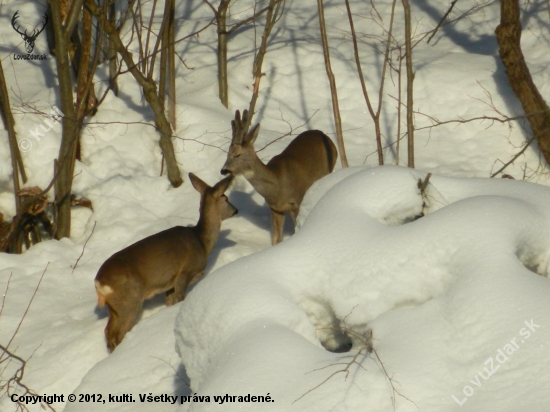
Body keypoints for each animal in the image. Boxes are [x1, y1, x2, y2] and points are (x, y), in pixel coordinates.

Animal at [93, 173, 239, 350]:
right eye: (225, 198)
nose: (236, 210)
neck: (201, 241)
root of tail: (99, 282)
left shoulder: (169, 283)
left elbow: (170, 302)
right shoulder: (184, 272)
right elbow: (180, 299)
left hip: (115, 306)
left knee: (108, 331)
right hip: (130, 299)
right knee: (116, 332)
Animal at [222, 109, 338, 245]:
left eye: (238, 155)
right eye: (227, 153)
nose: (223, 170)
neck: (278, 185)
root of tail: (326, 136)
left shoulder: (297, 202)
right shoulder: (275, 209)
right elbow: (276, 239)